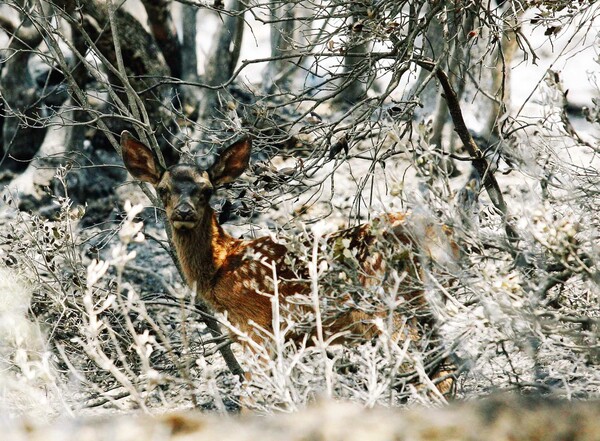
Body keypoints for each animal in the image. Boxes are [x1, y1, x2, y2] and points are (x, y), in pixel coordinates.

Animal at [120, 130, 460, 392]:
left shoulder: (259, 327)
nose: (184, 211)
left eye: (206, 190)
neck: (221, 266)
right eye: (163, 189)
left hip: (390, 304)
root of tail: (444, 236)